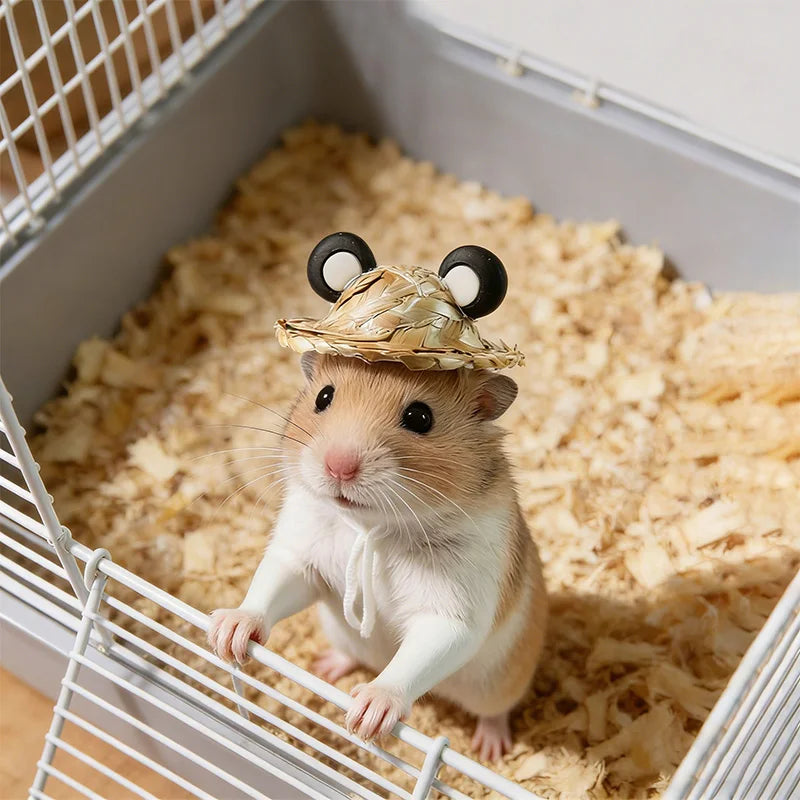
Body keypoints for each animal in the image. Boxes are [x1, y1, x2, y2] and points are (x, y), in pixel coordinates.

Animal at [208, 352, 547, 761]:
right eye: (323, 397)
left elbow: (418, 654)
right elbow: (271, 587)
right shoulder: (301, 558)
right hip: (344, 635)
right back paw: (324, 667)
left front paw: (364, 718)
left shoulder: (453, 613)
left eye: (420, 417)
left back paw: (489, 750)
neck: (373, 525)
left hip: (500, 683)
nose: (338, 466)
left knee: (494, 713)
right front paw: (226, 634)